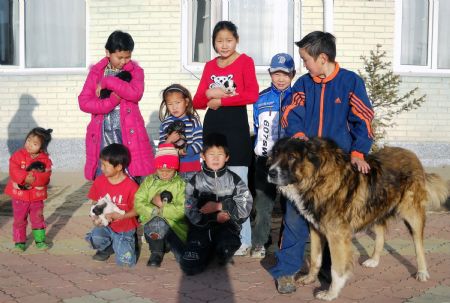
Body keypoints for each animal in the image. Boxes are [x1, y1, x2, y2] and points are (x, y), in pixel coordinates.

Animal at [268, 138, 446, 302]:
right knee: (381, 233)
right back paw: (374, 260)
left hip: (412, 214)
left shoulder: (337, 235)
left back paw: (422, 272)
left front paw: (331, 293)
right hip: (373, 209)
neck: (318, 176)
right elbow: (315, 258)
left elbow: (337, 268)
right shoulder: (316, 229)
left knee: (419, 244)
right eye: (275, 154)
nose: (270, 172)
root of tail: (411, 154)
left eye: (292, 157)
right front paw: (311, 278)